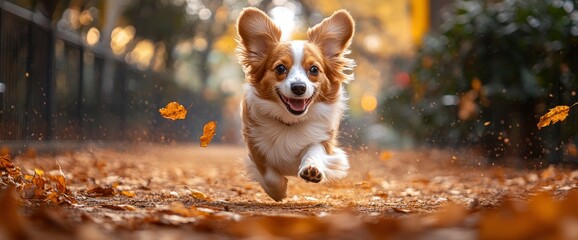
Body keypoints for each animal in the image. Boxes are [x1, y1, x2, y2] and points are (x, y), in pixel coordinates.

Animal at [235, 7, 354, 202]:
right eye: (280, 68)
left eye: (314, 69)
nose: (299, 87)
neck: (290, 123)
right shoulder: (254, 144)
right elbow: (269, 175)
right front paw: (279, 190)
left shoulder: (324, 140)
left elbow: (314, 151)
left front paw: (312, 169)